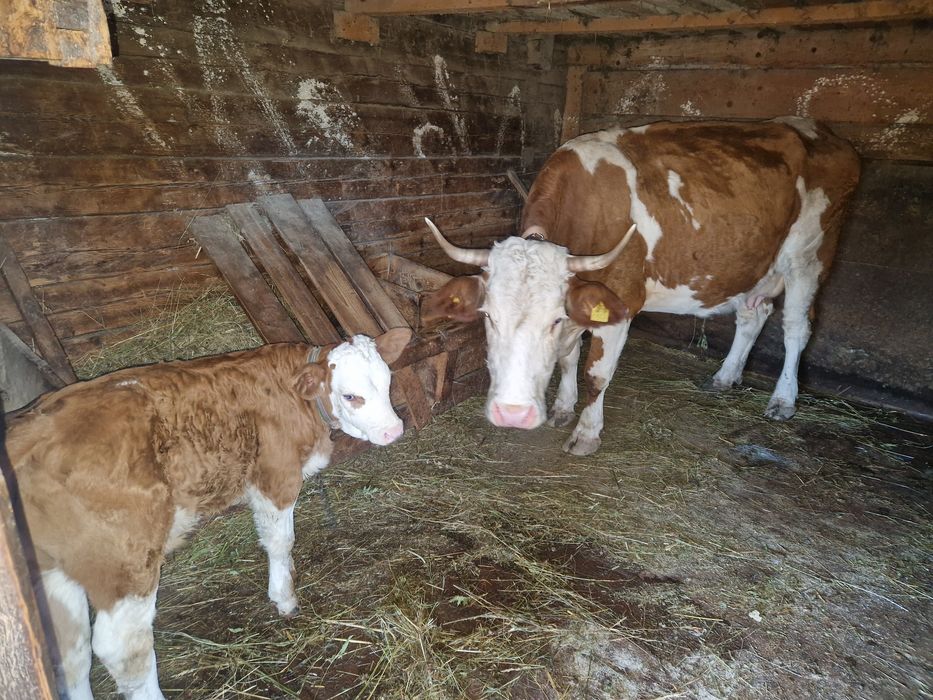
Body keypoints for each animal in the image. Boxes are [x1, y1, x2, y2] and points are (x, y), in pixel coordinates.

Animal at [5, 328, 411, 700]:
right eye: (351, 396)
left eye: (388, 382)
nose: (394, 431)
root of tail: (30, 435)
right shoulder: (275, 476)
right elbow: (280, 540)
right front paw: (284, 596)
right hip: (126, 562)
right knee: (122, 647)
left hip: (53, 571)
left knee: (70, 652)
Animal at [423, 118, 860, 456]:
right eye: (489, 318)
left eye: (553, 319)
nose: (512, 414)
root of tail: (822, 131)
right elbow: (567, 358)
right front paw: (563, 407)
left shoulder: (620, 302)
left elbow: (595, 374)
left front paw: (586, 433)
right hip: (752, 264)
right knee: (754, 314)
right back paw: (725, 376)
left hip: (809, 256)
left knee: (796, 328)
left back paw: (783, 399)